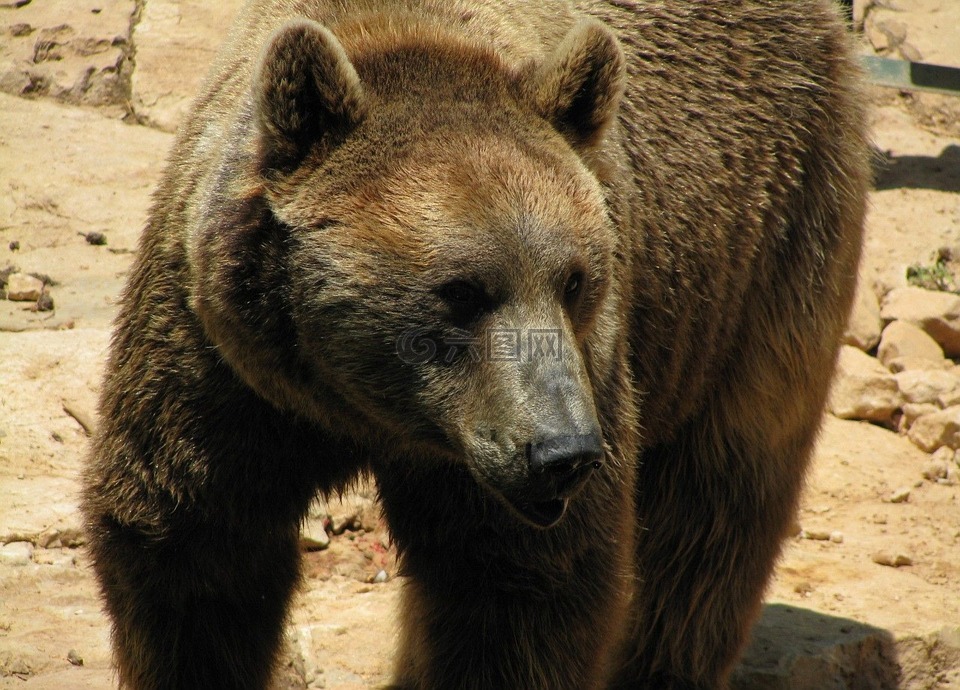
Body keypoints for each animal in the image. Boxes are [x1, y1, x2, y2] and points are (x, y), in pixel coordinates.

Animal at [81, 0, 870, 688]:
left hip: (763, 262)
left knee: (711, 517)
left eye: (577, 279)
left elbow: (520, 590)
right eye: (460, 290)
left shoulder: (564, 394)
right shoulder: (221, 365)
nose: (564, 454)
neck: (368, 410)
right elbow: (193, 552)